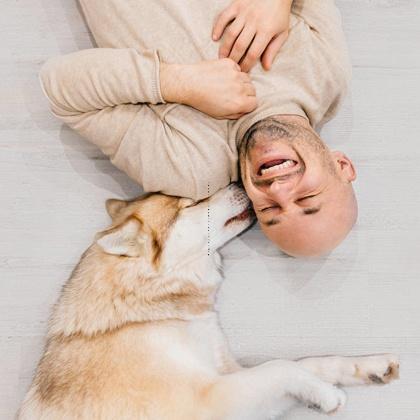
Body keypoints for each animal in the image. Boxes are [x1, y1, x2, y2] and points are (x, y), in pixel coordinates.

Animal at [18, 185, 400, 418]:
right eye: (188, 205)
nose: (237, 179)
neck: (146, 314)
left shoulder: (230, 373)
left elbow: (307, 362)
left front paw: (367, 367)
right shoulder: (212, 398)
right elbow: (280, 367)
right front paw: (327, 396)